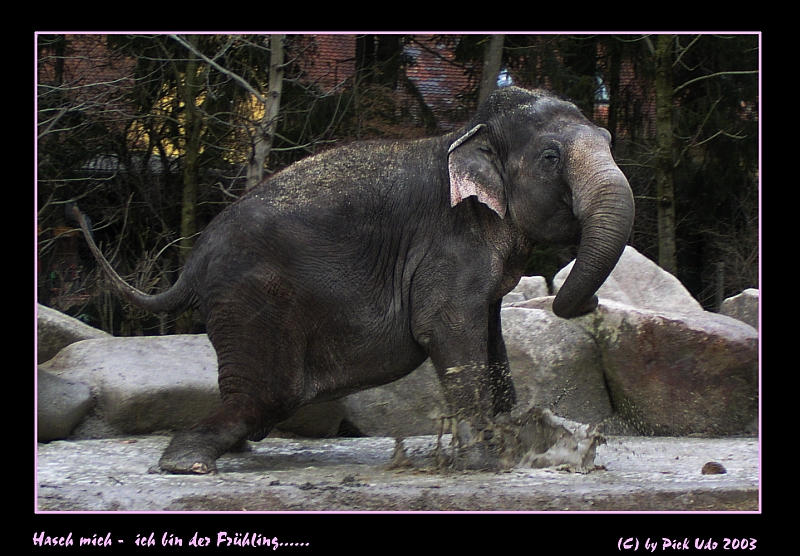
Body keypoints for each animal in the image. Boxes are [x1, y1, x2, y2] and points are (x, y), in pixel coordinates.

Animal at [70, 87, 632, 474]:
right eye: (550, 157)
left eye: (607, 141)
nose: (582, 303)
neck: (465, 134)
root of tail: (192, 264)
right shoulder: (449, 242)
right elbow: (446, 329)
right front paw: (486, 464)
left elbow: (490, 338)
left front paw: (515, 446)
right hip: (251, 303)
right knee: (264, 397)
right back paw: (188, 462)